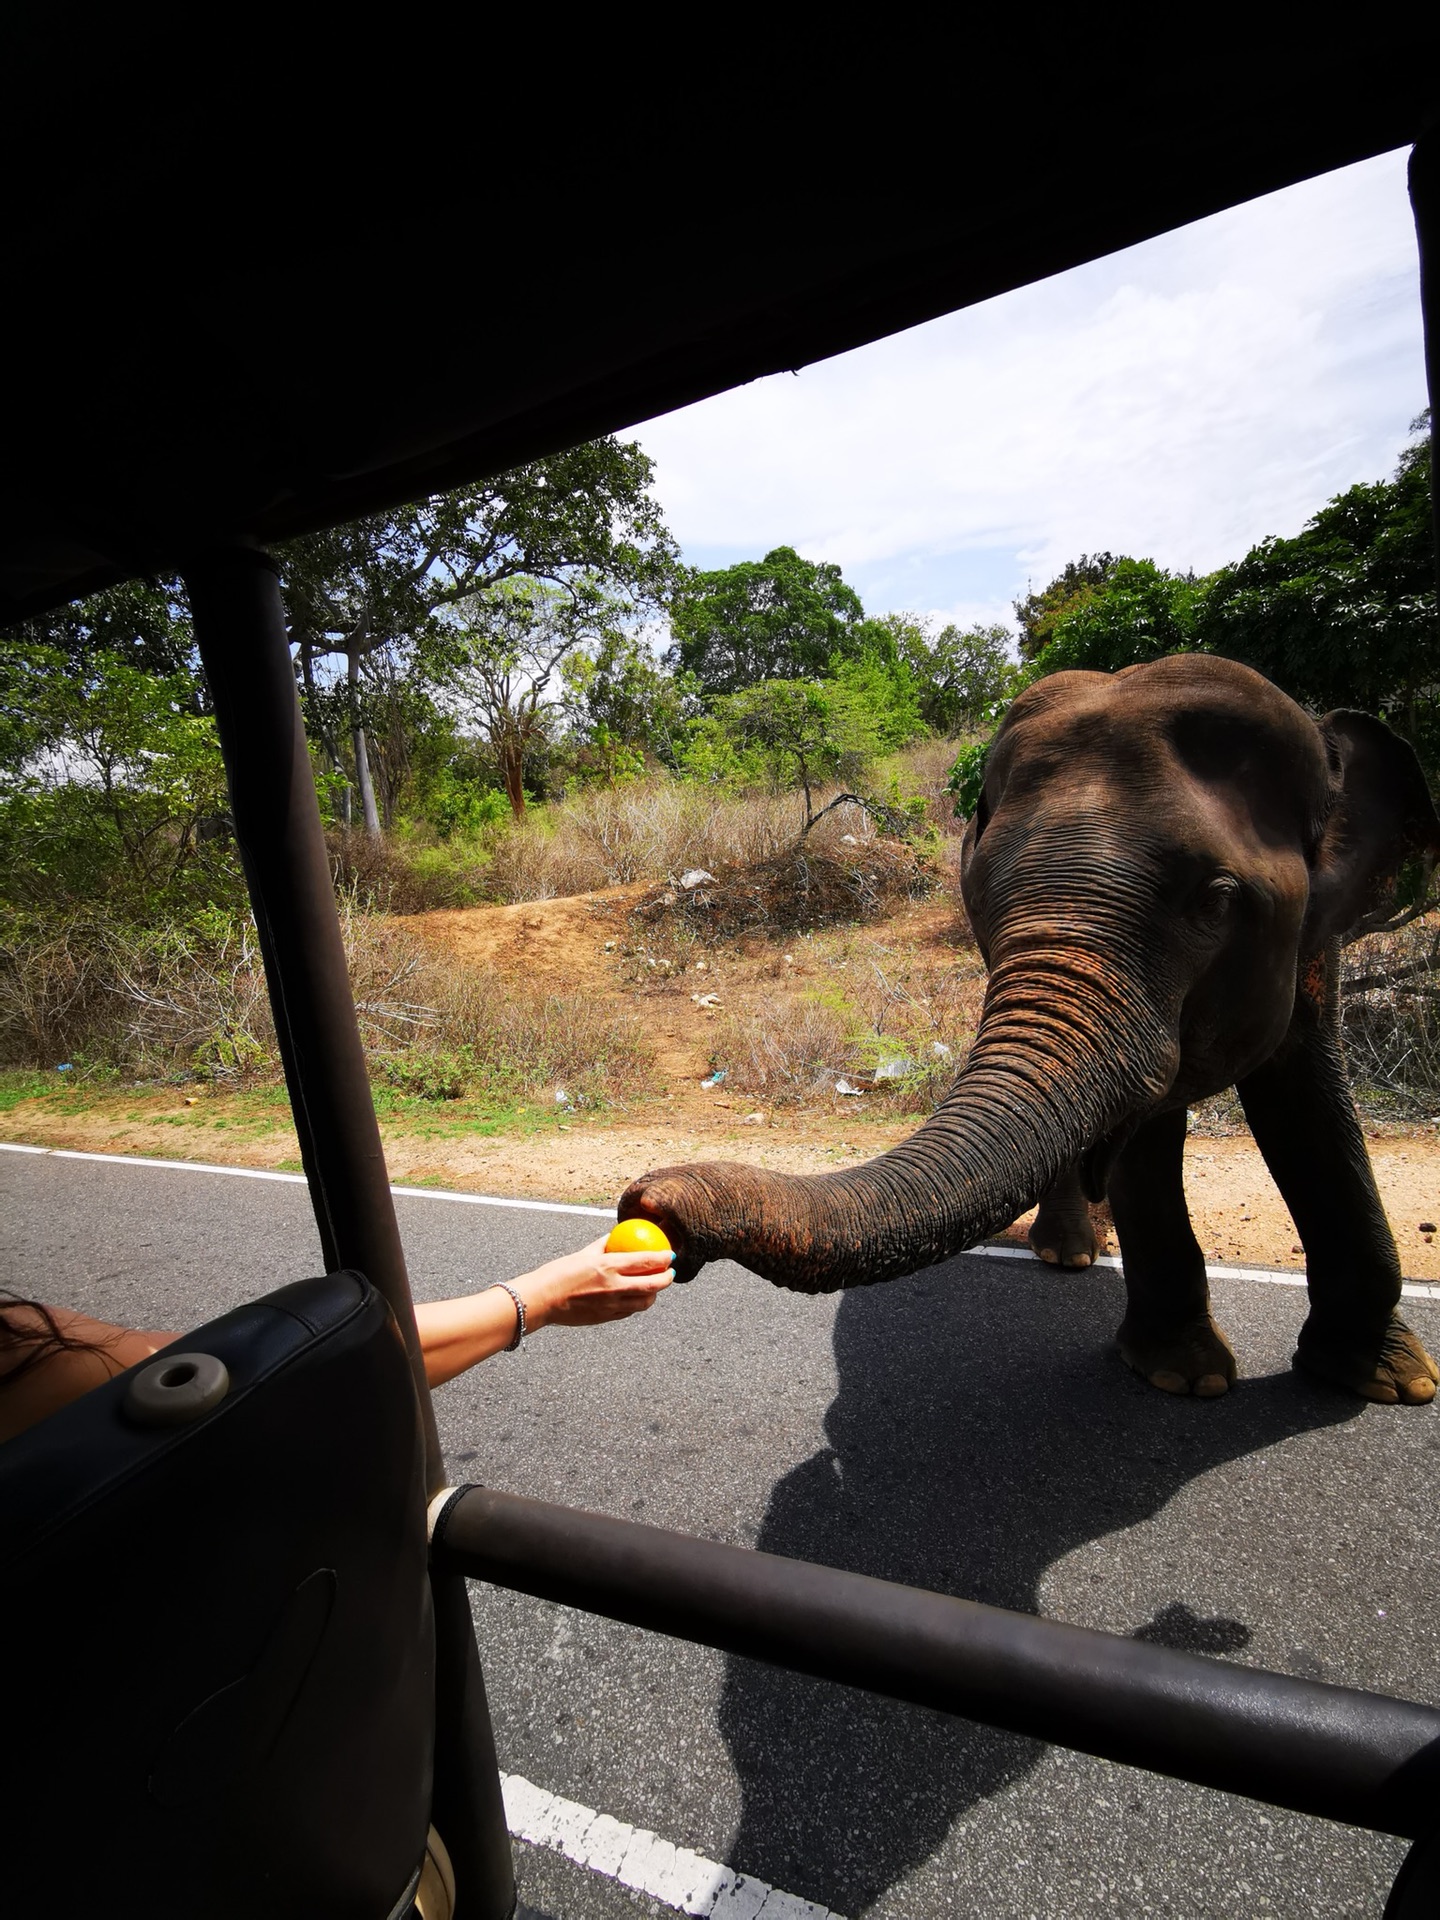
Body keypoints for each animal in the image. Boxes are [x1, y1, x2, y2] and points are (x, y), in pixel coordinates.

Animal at [625, 652, 1440, 1405]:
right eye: (981, 895)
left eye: (1216, 900)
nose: (647, 1203)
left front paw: (1386, 1383)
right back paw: (1070, 1253)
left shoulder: (1314, 939)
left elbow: (1306, 1095)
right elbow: (1159, 1125)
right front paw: (1184, 1377)